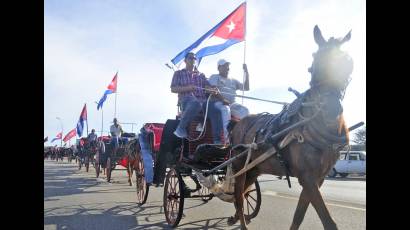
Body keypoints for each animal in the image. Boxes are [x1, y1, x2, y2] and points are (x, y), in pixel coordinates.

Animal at [229, 24, 354, 229]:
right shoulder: (307, 177)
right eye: (313, 64)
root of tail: (237, 123)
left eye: (347, 62)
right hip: (240, 166)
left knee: (244, 192)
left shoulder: (317, 178)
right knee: (239, 197)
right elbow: (328, 222)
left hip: (255, 169)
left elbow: (298, 215)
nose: (331, 108)